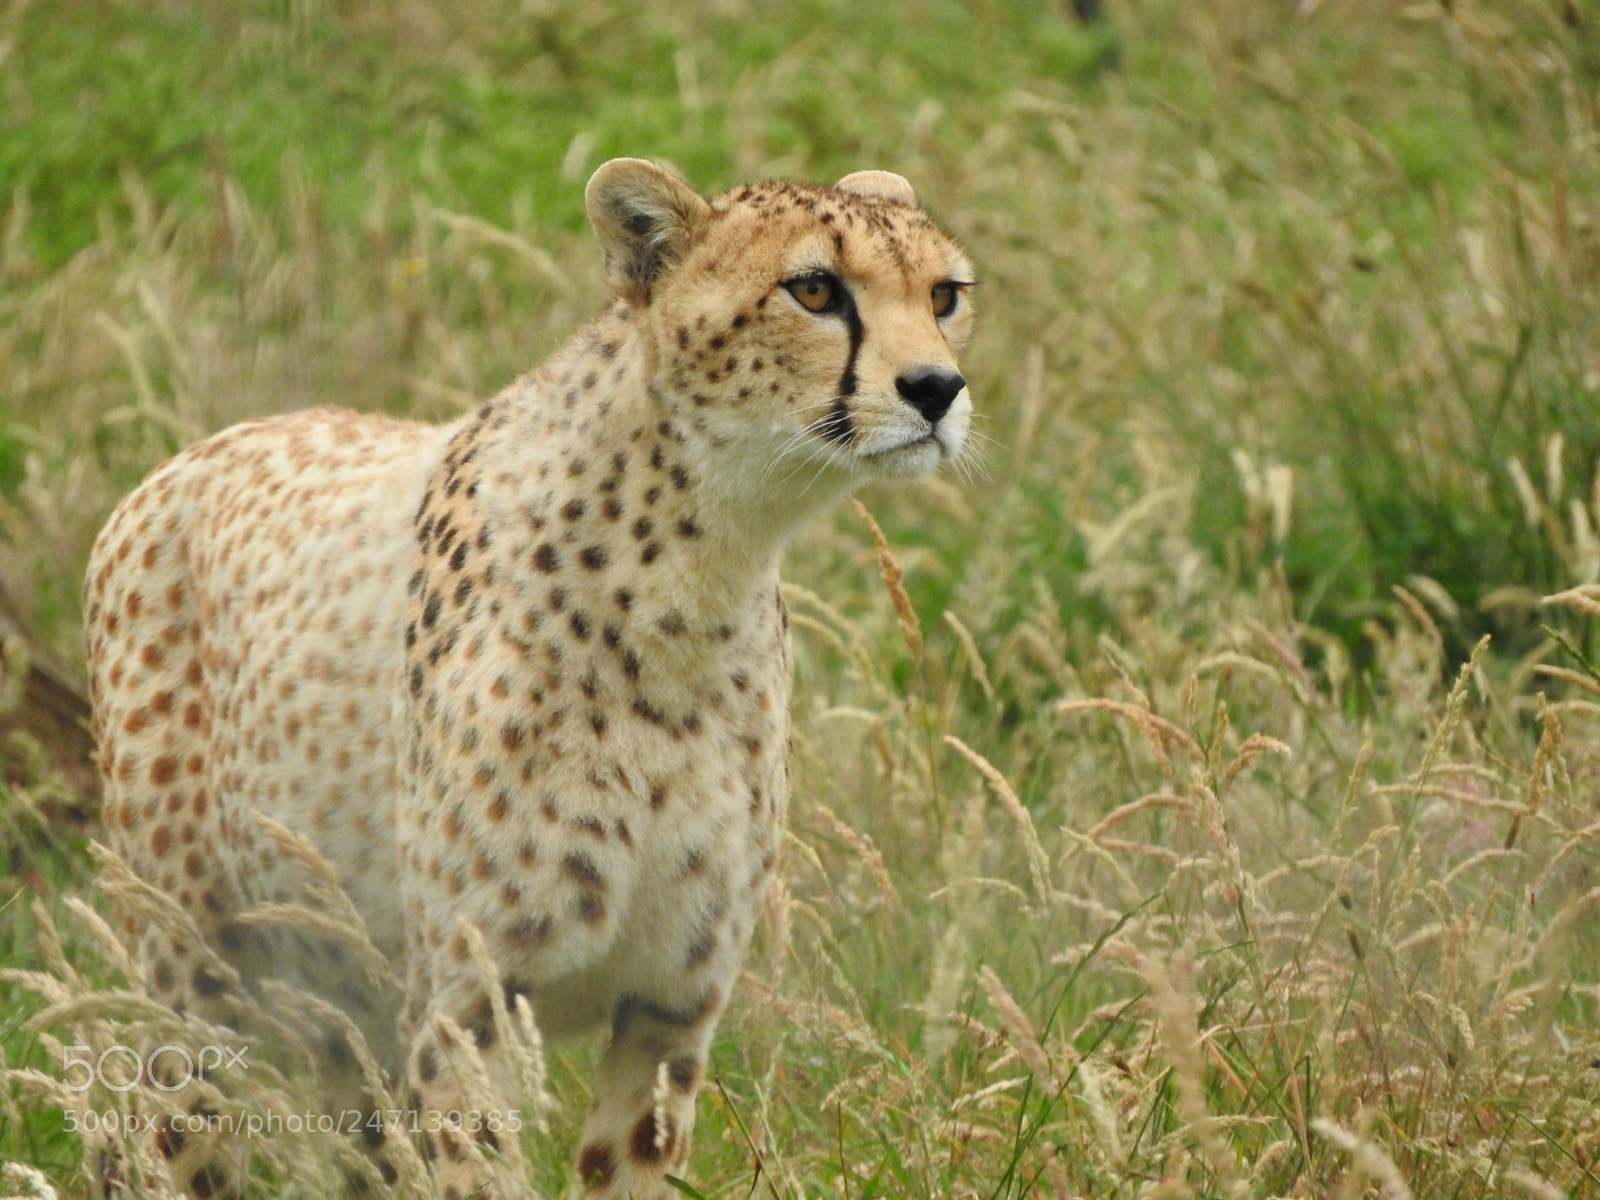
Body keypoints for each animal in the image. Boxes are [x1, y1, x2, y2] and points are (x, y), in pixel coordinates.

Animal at [83, 157, 976, 1200]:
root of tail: (189, 455)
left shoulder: (670, 1006)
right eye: (816, 290)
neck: (692, 579)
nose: (937, 388)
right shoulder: (470, 1003)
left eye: (944, 295)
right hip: (196, 992)